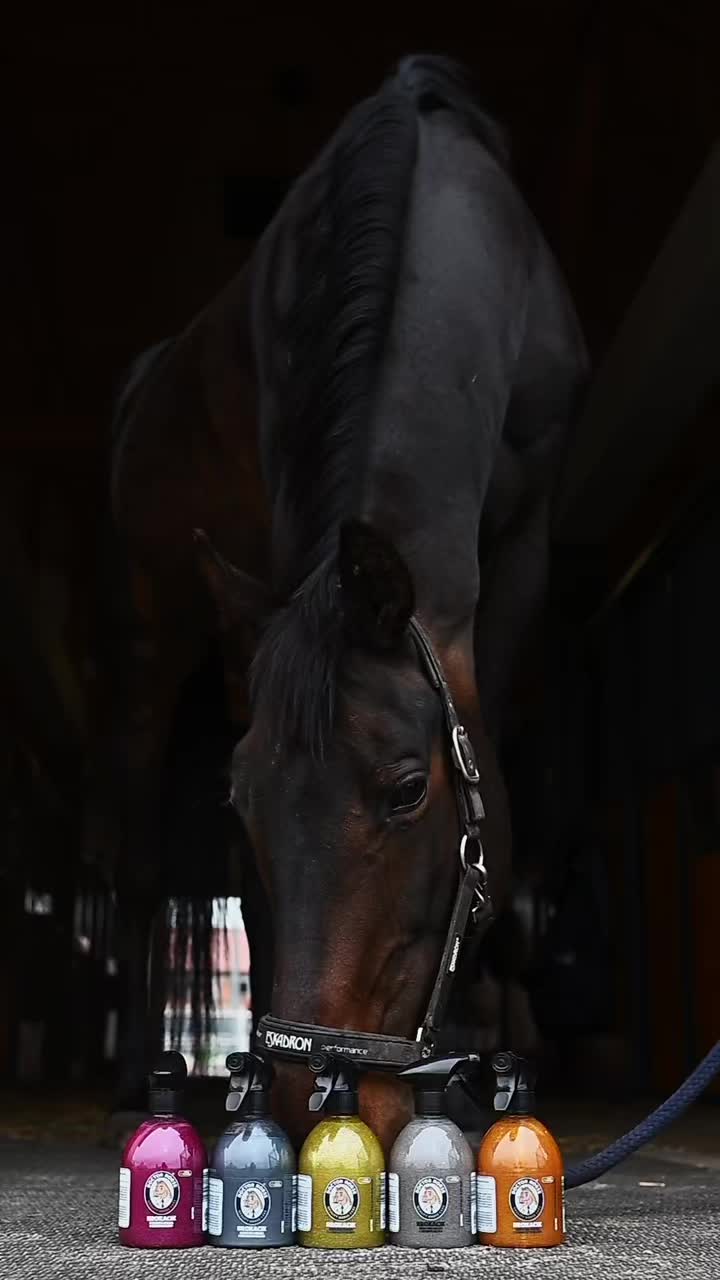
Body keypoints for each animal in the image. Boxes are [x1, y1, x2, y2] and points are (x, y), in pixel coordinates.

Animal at [98, 54, 588, 1149]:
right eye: (242, 801)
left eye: (408, 789)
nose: (312, 1087)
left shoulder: (525, 538)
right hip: (154, 622)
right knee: (138, 859)